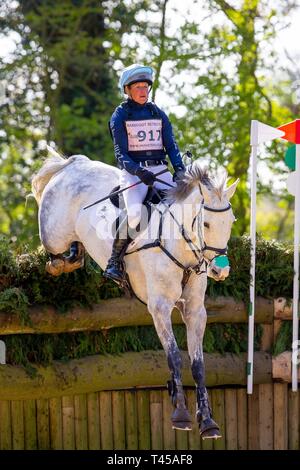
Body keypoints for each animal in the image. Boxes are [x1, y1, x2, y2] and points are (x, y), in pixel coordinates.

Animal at [32, 149, 239, 438]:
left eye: (230, 222)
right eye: (206, 223)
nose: (220, 271)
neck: (181, 246)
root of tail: (72, 165)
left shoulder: (195, 311)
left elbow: (198, 364)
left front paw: (208, 422)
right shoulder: (160, 308)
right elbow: (174, 357)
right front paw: (181, 415)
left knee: (75, 253)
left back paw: (76, 255)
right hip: (53, 234)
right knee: (54, 252)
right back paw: (62, 262)